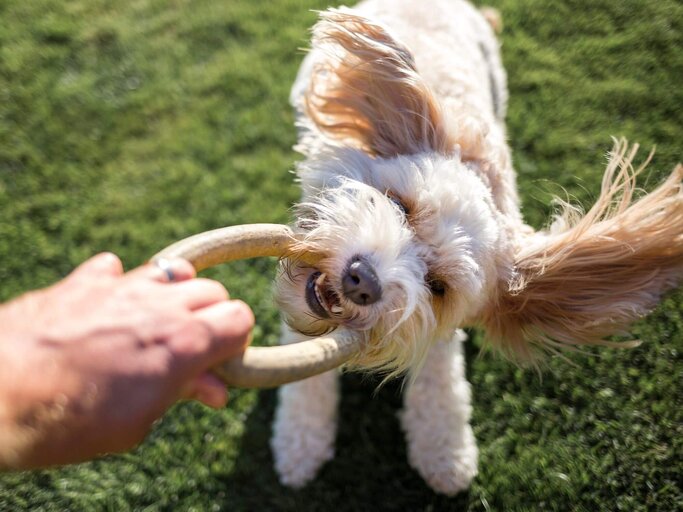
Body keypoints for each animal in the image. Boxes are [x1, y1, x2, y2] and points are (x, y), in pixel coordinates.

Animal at [270, 0, 680, 496]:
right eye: (399, 205)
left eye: (438, 286)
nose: (362, 280)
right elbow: (304, 379)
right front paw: (300, 443)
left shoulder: (440, 333)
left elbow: (441, 388)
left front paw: (446, 454)